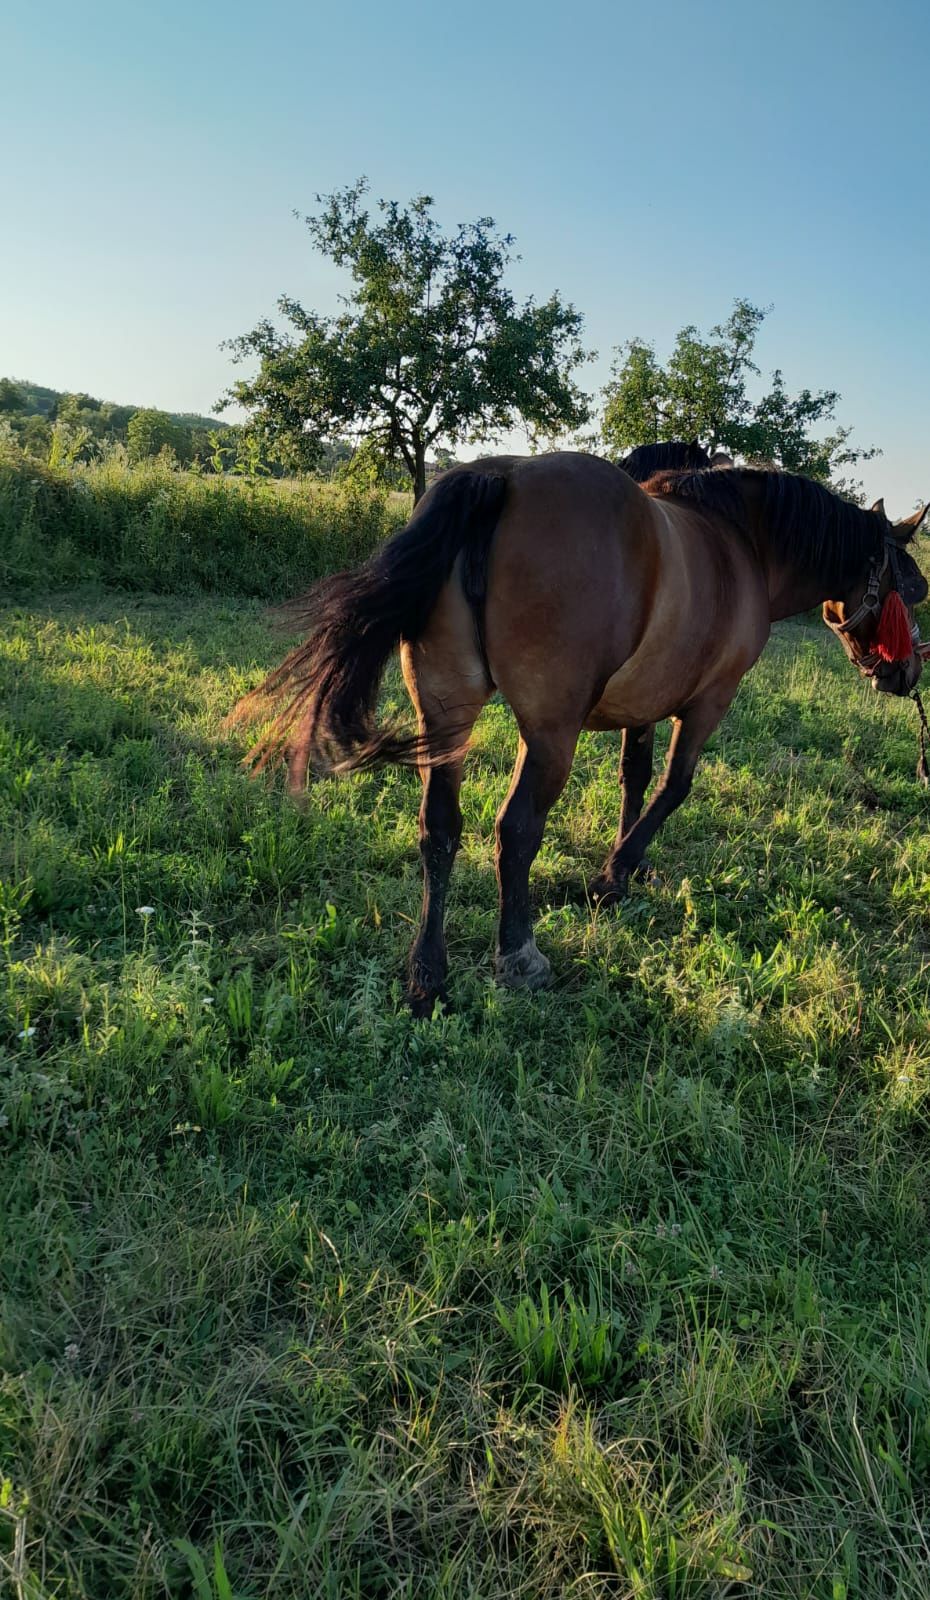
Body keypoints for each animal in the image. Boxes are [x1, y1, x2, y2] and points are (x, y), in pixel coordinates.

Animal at [230, 457, 928, 1017]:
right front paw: (614, 874)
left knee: (439, 827)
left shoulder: (645, 703)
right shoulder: (707, 703)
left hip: (447, 715)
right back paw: (518, 954)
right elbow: (673, 786)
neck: (742, 545)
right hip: (549, 733)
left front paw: (627, 863)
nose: (906, 674)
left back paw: (427, 975)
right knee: (515, 829)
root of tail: (499, 478)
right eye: (912, 587)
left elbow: (634, 779)